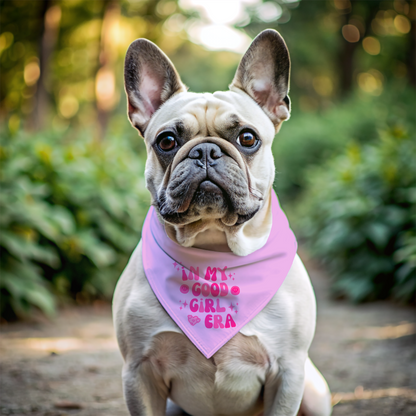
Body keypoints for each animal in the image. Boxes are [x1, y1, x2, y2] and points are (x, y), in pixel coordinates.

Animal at [112, 30, 334, 416]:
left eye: (247, 138)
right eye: (166, 141)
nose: (205, 151)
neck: (214, 251)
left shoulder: (289, 373)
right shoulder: (139, 372)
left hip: (314, 390)